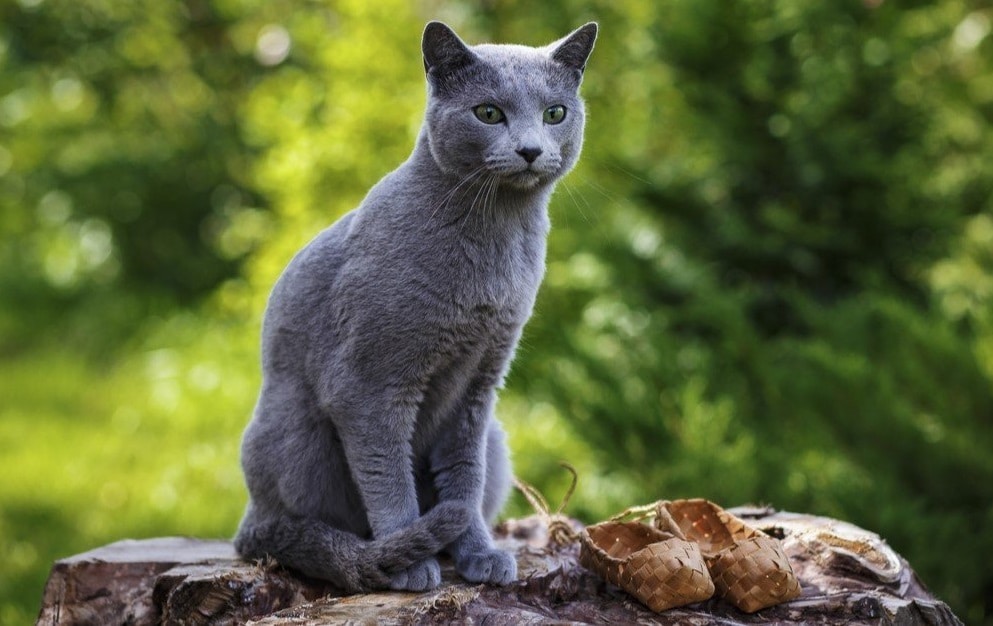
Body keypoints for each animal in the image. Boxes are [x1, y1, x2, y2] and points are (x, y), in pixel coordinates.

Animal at [232, 20, 596, 588]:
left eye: (555, 113)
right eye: (488, 113)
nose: (531, 149)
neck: (497, 239)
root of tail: (249, 519)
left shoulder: (479, 385)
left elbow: (464, 478)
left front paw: (478, 554)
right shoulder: (367, 384)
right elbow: (388, 477)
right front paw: (410, 563)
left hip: (497, 437)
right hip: (297, 428)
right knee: (297, 526)